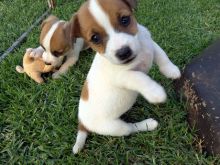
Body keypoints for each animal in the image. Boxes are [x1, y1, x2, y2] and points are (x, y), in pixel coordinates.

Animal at [72, 0, 180, 153]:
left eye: (125, 19)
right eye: (95, 38)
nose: (123, 52)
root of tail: (82, 122)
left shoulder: (150, 44)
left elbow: (162, 55)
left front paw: (171, 70)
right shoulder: (123, 76)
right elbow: (140, 78)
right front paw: (155, 92)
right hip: (116, 127)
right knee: (130, 128)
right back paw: (148, 124)